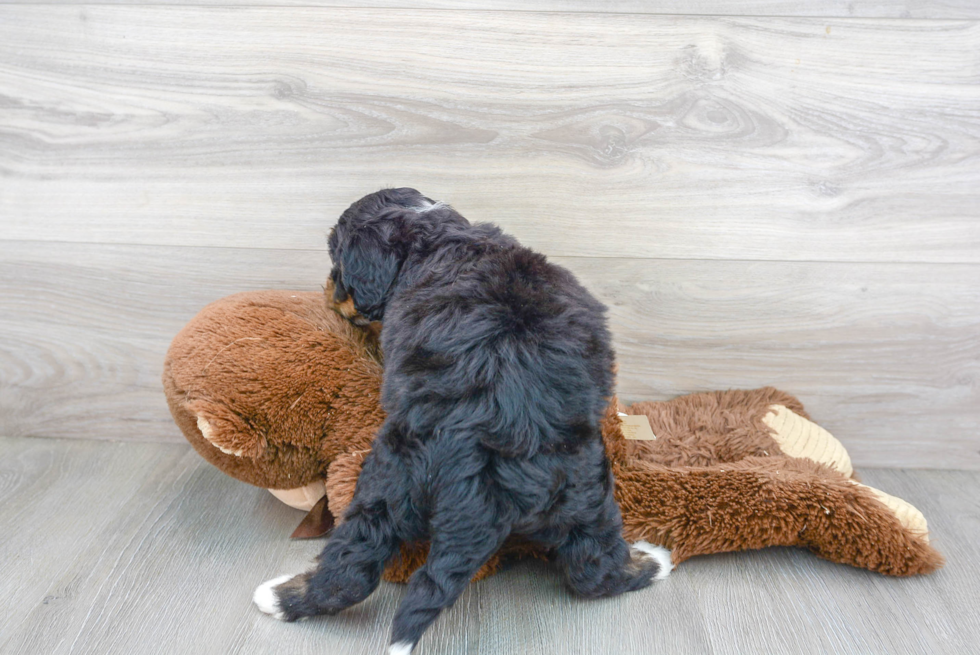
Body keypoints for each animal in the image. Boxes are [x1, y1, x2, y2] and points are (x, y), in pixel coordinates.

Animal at [253, 188, 668, 652]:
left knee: (351, 568)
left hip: (392, 483)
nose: (327, 288)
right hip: (586, 489)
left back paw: (277, 597)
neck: (433, 235)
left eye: (336, 258)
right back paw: (651, 562)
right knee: (594, 570)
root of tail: (478, 471)